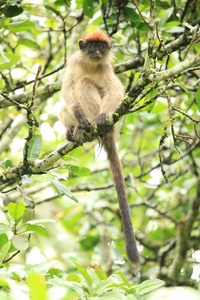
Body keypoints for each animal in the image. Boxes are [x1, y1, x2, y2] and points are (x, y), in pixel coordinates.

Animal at [59, 29, 140, 264]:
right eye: (93, 47)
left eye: (102, 48)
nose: (97, 53)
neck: (90, 64)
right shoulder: (73, 61)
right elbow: (67, 89)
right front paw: (78, 115)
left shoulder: (107, 68)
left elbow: (116, 90)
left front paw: (103, 115)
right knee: (66, 103)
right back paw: (75, 129)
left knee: (85, 83)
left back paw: (94, 124)